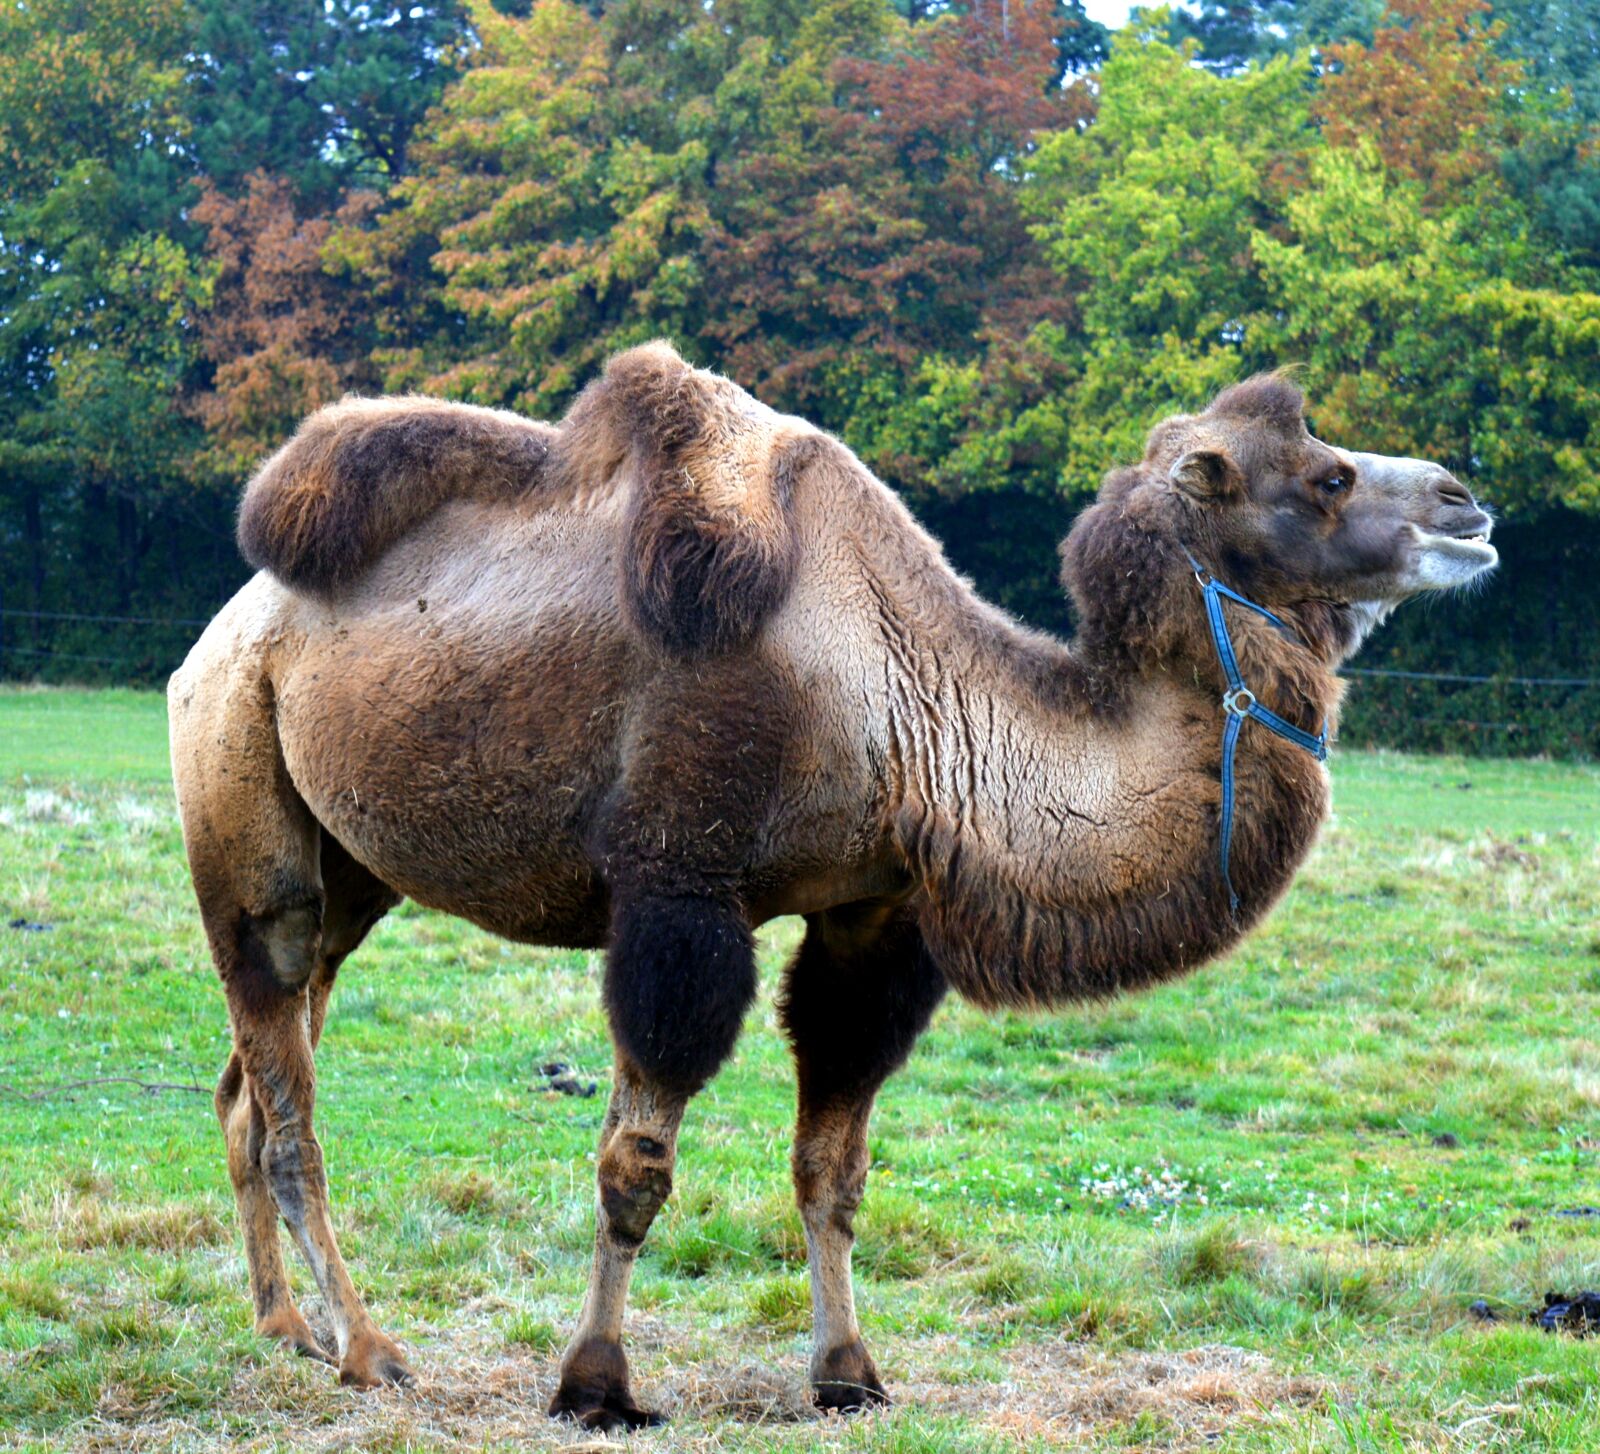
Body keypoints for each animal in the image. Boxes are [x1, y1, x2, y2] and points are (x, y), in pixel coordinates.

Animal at [168, 343, 1496, 1427]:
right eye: (1324, 478)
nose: (1466, 505)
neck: (900, 705)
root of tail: (227, 627)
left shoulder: (871, 914)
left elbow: (833, 1167)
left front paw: (848, 1372)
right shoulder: (681, 889)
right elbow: (635, 1164)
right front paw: (597, 1382)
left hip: (352, 870)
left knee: (250, 1080)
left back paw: (286, 1329)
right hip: (241, 795)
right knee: (287, 1085)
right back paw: (369, 1351)